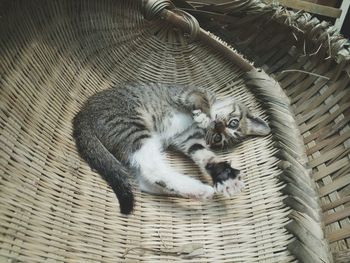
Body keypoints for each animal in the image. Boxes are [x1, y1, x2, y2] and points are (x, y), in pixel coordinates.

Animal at [72, 83, 270, 216]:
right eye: (233, 122)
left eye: (218, 138)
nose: (217, 125)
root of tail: (83, 111)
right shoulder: (185, 93)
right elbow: (202, 99)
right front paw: (204, 114)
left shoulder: (189, 140)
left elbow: (206, 156)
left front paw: (226, 177)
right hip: (129, 124)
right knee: (151, 168)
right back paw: (198, 189)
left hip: (130, 134)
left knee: (145, 176)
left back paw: (196, 191)